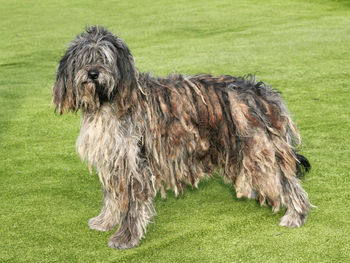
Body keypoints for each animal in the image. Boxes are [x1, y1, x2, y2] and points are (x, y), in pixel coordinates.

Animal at [52, 25, 312, 251]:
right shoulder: (114, 159)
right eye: (84, 58)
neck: (110, 101)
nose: (93, 73)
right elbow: (113, 197)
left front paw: (126, 237)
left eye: (104, 58)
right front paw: (105, 221)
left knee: (287, 182)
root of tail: (261, 92)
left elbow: (132, 205)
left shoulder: (134, 162)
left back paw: (296, 215)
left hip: (259, 149)